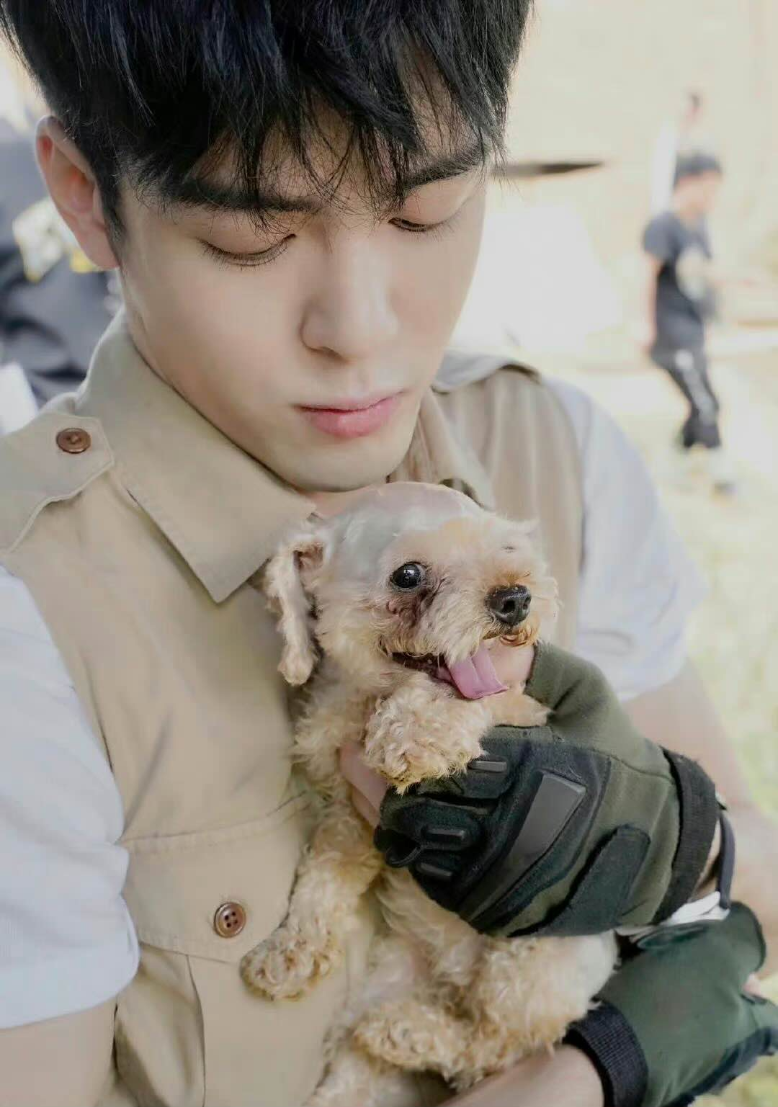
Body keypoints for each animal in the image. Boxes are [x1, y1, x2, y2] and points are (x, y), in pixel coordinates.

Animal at [241, 482, 617, 1106]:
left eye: (504, 547)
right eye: (408, 574)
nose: (516, 598)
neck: (373, 698)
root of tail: (453, 973)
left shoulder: (522, 707)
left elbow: (476, 700)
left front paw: (415, 732)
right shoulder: (352, 821)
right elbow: (320, 885)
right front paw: (290, 951)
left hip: (529, 962)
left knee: (490, 1049)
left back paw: (402, 1032)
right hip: (396, 970)